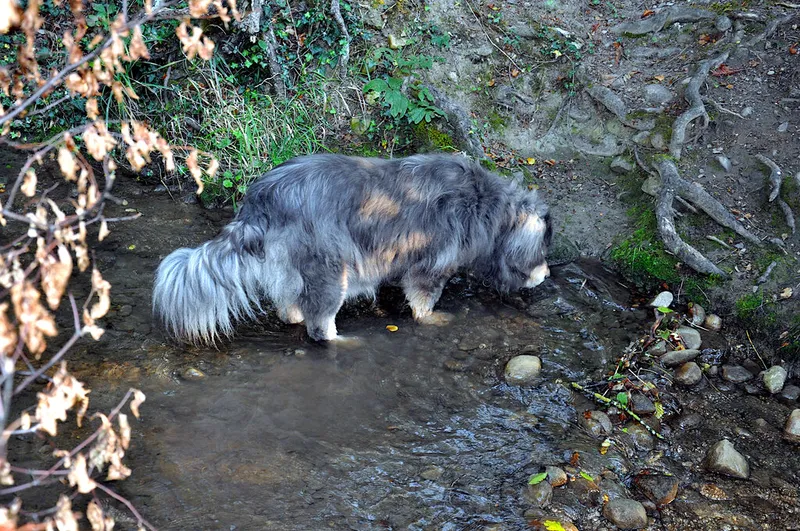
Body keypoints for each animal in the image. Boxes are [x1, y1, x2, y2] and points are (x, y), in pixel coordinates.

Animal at [153, 153, 552, 343]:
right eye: (544, 251)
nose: (547, 275)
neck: (488, 205)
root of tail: (261, 197)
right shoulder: (432, 263)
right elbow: (423, 299)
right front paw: (433, 318)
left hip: (290, 263)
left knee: (288, 305)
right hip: (330, 268)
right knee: (319, 324)